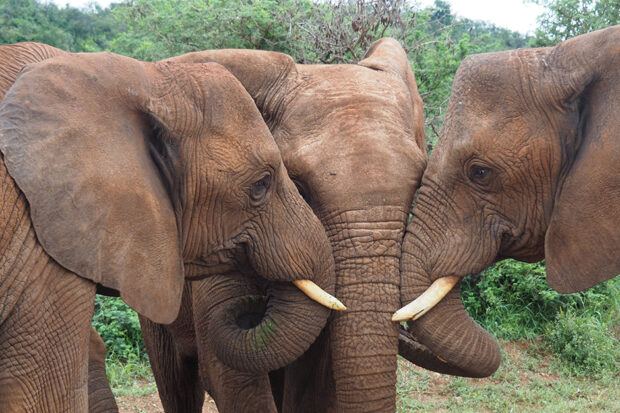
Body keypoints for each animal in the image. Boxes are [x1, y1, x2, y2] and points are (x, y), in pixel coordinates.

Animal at [141, 37, 428, 410]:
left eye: (418, 184)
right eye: (299, 185)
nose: (252, 309)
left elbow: (315, 384)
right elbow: (231, 379)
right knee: (176, 381)